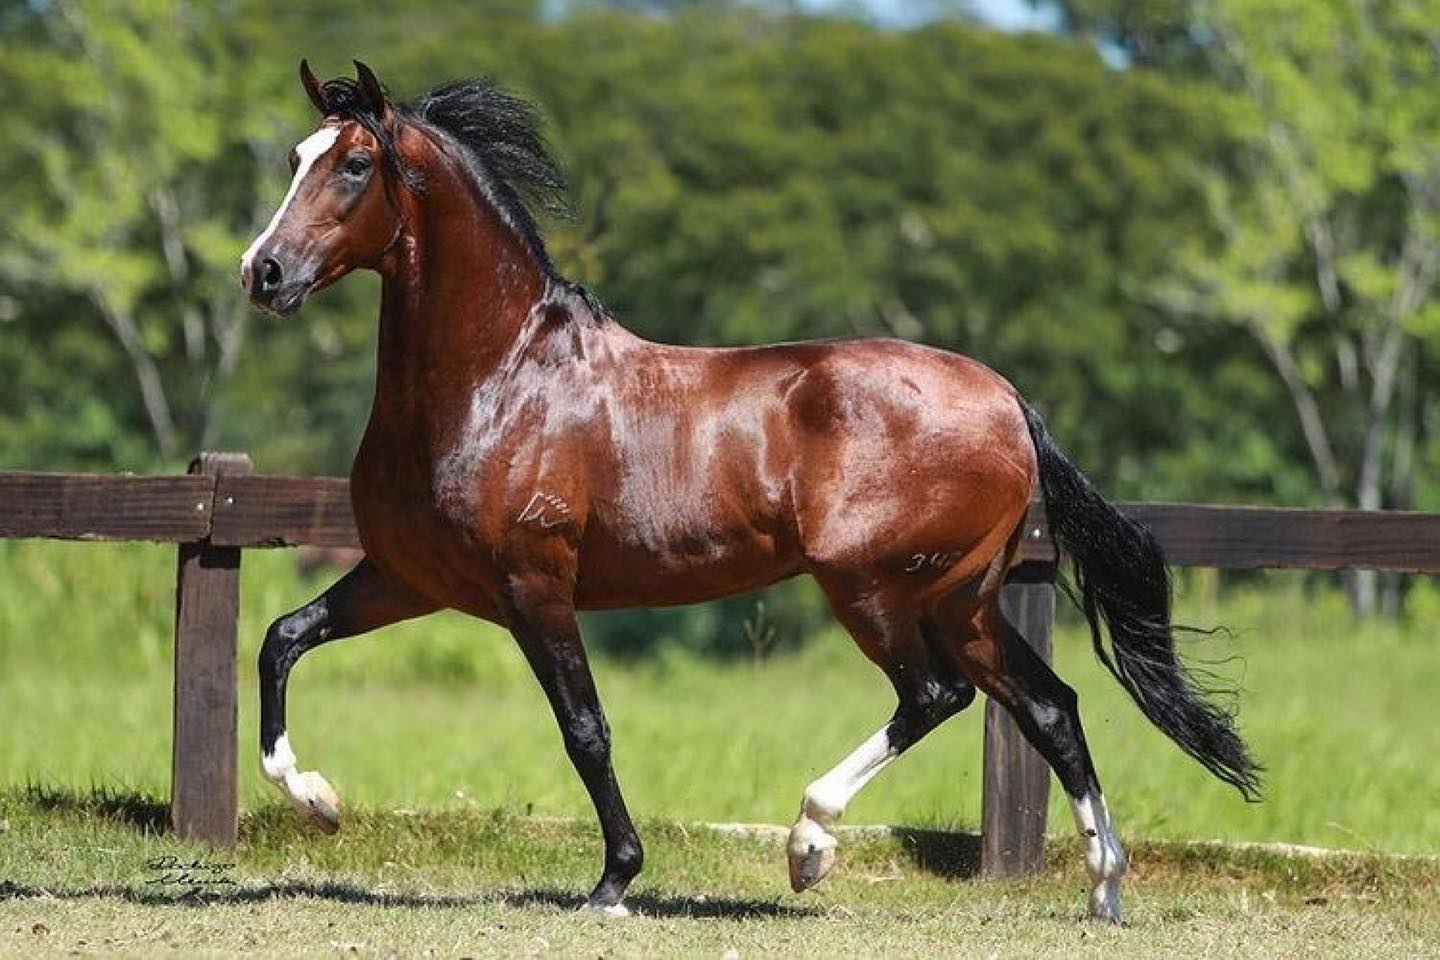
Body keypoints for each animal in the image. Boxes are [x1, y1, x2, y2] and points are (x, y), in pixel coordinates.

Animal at [241, 60, 1255, 921]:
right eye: (294, 157)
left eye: (355, 164)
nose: (263, 272)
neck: (497, 382)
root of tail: (1006, 398)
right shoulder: (408, 579)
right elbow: (281, 639)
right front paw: (320, 802)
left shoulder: (535, 587)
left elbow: (585, 729)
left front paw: (614, 883)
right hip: (960, 598)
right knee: (1049, 706)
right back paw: (1103, 888)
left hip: (871, 588)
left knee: (935, 697)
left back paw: (810, 846)